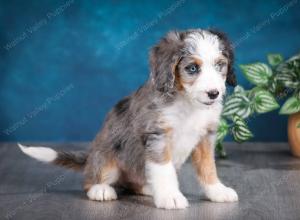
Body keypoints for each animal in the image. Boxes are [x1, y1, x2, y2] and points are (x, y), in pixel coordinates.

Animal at [19, 29, 238, 210]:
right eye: (192, 68)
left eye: (220, 65)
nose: (214, 93)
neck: (187, 102)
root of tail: (89, 158)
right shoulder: (158, 136)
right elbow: (164, 169)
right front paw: (170, 196)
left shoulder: (205, 137)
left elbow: (208, 166)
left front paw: (217, 191)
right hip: (107, 157)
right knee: (90, 180)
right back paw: (100, 189)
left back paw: (148, 187)